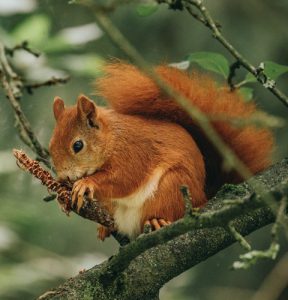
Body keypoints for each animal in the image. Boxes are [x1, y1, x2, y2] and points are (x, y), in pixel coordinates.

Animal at [50, 62, 274, 240]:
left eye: (77, 145)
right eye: (50, 146)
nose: (64, 176)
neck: (112, 139)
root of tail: (204, 196)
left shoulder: (133, 153)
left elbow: (124, 178)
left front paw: (86, 183)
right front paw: (63, 194)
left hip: (172, 187)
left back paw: (157, 221)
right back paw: (105, 227)